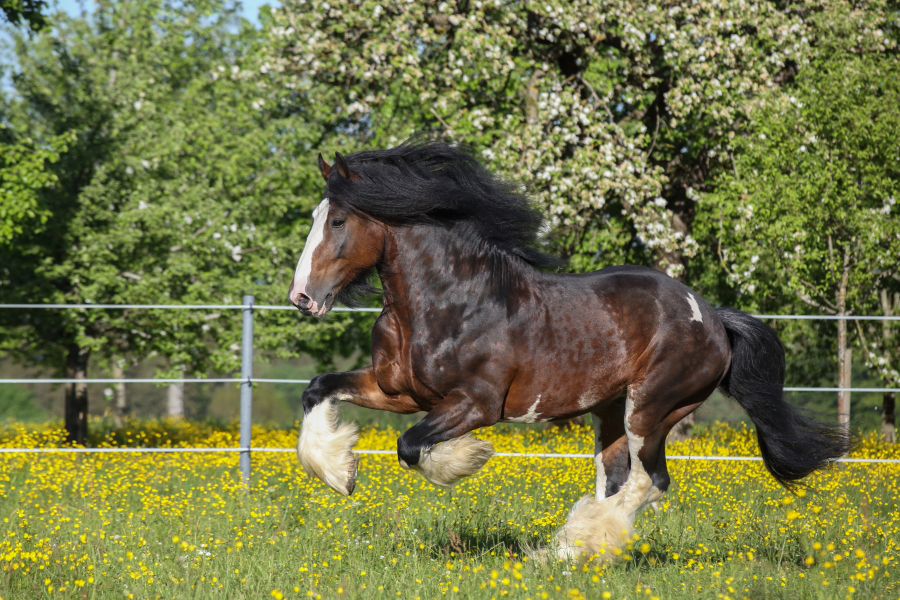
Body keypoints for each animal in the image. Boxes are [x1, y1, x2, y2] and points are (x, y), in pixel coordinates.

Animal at [286, 141, 852, 564]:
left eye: (337, 221)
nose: (302, 297)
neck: (446, 299)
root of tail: (712, 316)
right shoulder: (397, 391)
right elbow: (318, 391)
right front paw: (341, 473)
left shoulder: (475, 404)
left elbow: (411, 446)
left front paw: (466, 458)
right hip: (610, 411)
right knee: (617, 478)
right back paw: (572, 550)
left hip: (653, 407)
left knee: (650, 481)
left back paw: (572, 547)